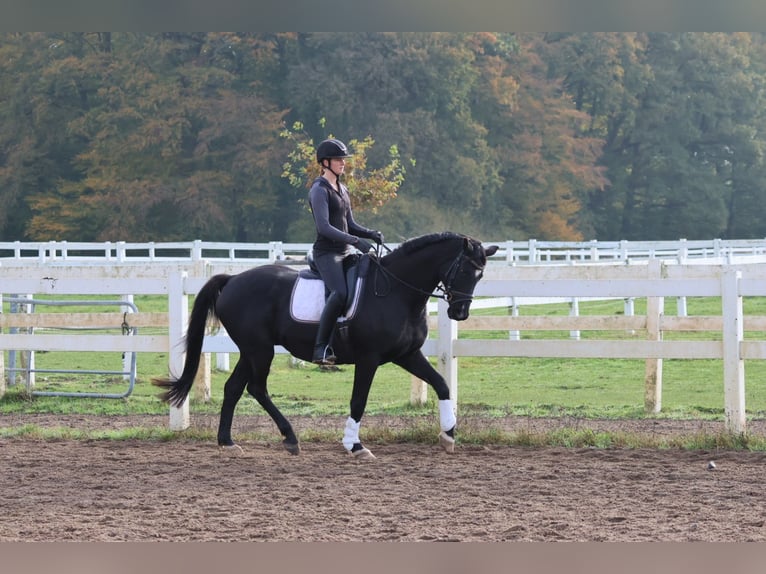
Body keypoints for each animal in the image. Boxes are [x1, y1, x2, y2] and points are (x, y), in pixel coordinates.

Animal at [154, 232, 500, 462]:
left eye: (481, 274)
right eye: (465, 270)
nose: (460, 312)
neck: (397, 291)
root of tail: (232, 280)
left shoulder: (407, 355)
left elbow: (442, 384)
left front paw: (448, 435)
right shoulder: (369, 358)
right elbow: (358, 400)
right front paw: (354, 445)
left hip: (251, 351)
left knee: (235, 388)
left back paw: (228, 441)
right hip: (260, 350)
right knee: (256, 388)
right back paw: (289, 438)